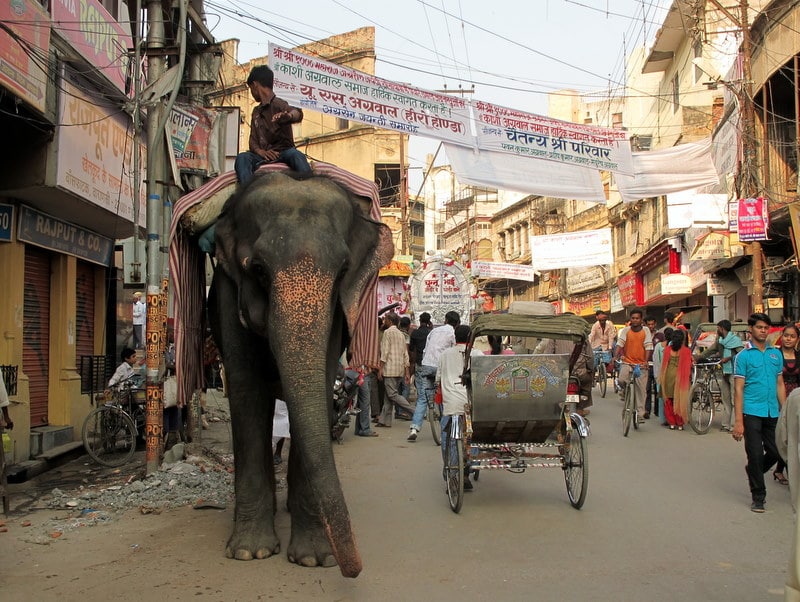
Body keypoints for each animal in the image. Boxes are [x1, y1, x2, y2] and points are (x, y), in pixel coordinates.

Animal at [208, 169, 392, 576]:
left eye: (343, 271)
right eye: (258, 270)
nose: (354, 568)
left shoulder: (336, 316)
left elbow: (320, 388)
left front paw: (314, 558)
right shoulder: (229, 294)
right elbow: (246, 391)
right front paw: (250, 552)